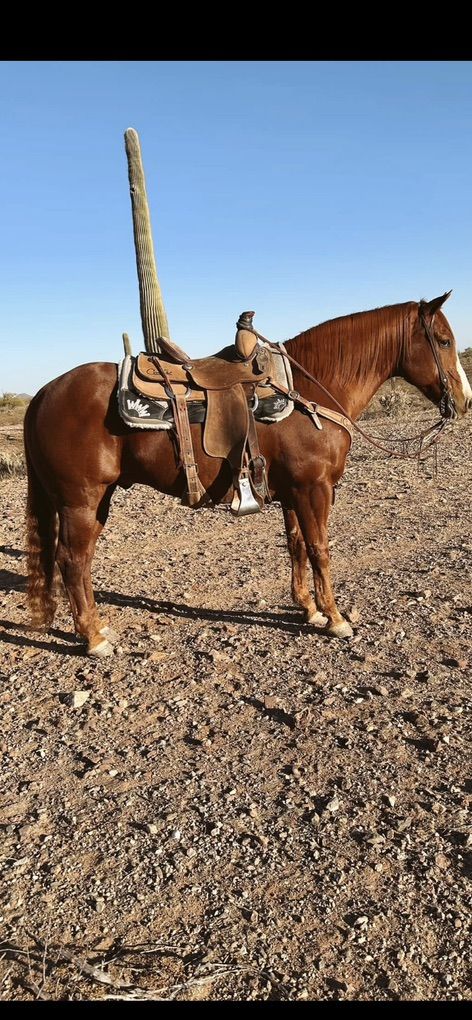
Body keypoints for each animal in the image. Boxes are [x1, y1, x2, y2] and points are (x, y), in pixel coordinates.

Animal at [23, 292, 471, 656]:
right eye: (443, 341)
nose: (464, 399)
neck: (311, 392)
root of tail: (43, 394)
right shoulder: (314, 489)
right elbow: (320, 549)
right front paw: (335, 618)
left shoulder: (293, 492)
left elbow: (296, 546)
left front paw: (308, 609)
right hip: (82, 500)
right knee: (72, 560)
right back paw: (93, 638)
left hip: (93, 501)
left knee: (78, 561)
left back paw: (97, 629)